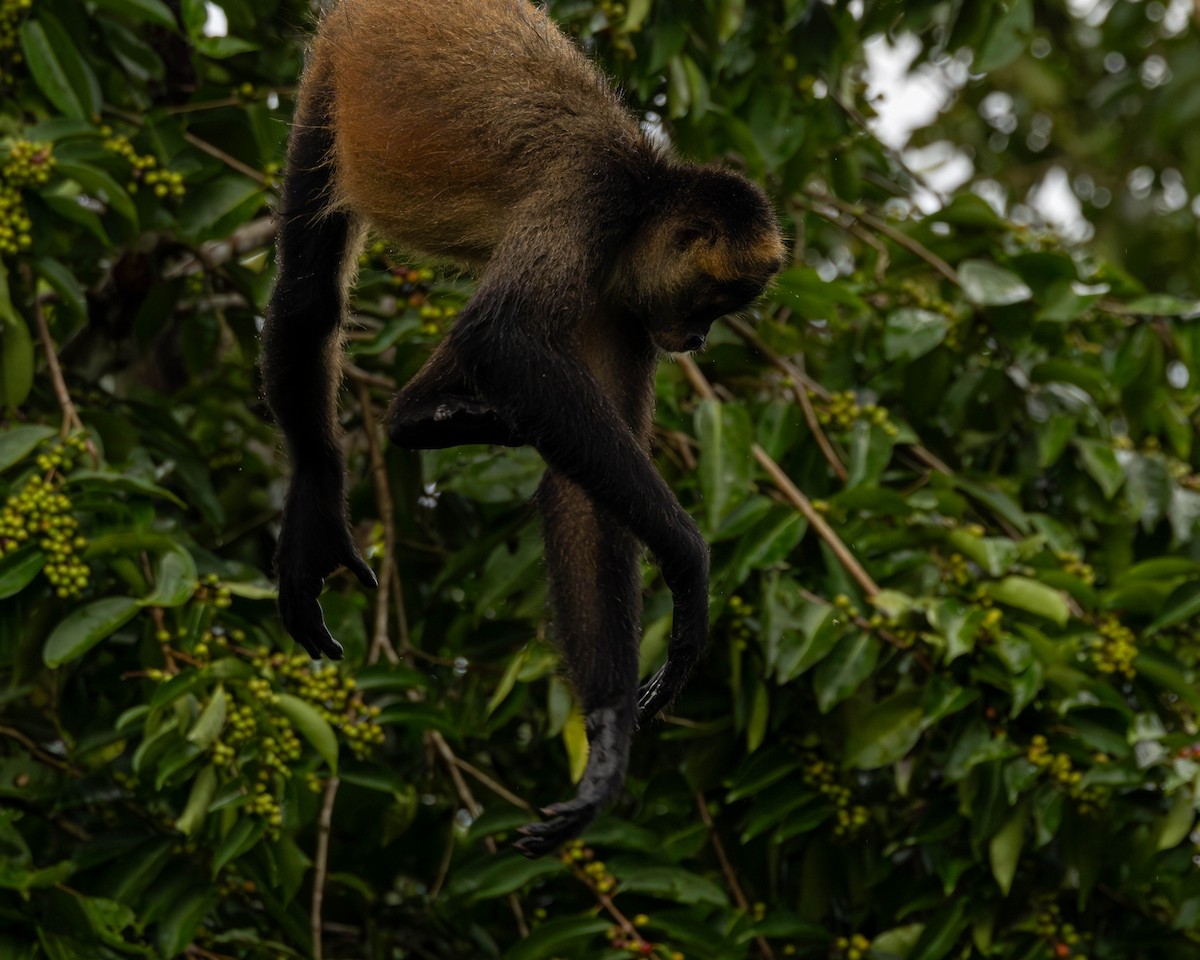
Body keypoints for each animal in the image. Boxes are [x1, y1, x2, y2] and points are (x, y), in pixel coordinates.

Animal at [260, 0, 784, 857]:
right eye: (715, 303)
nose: (700, 341)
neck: (640, 190)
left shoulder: (621, 305)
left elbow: (584, 499)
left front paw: (606, 743)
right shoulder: (591, 195)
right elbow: (502, 338)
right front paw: (690, 566)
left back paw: (423, 418)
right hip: (329, 73)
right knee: (309, 295)